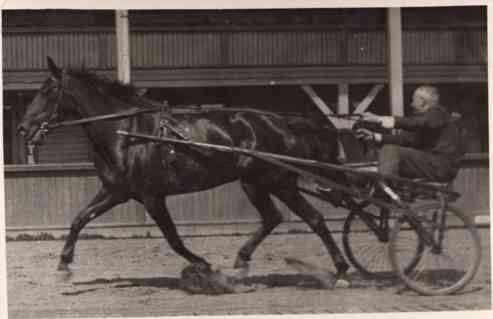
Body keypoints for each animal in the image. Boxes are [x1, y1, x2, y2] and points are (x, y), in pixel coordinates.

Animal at [18, 57, 350, 284]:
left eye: (48, 90)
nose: (23, 128)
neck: (127, 134)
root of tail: (284, 122)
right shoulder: (116, 191)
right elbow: (79, 219)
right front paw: (63, 266)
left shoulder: (152, 197)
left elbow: (173, 238)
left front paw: (203, 264)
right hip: (254, 183)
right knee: (273, 218)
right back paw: (242, 261)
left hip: (278, 181)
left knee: (314, 219)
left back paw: (342, 269)